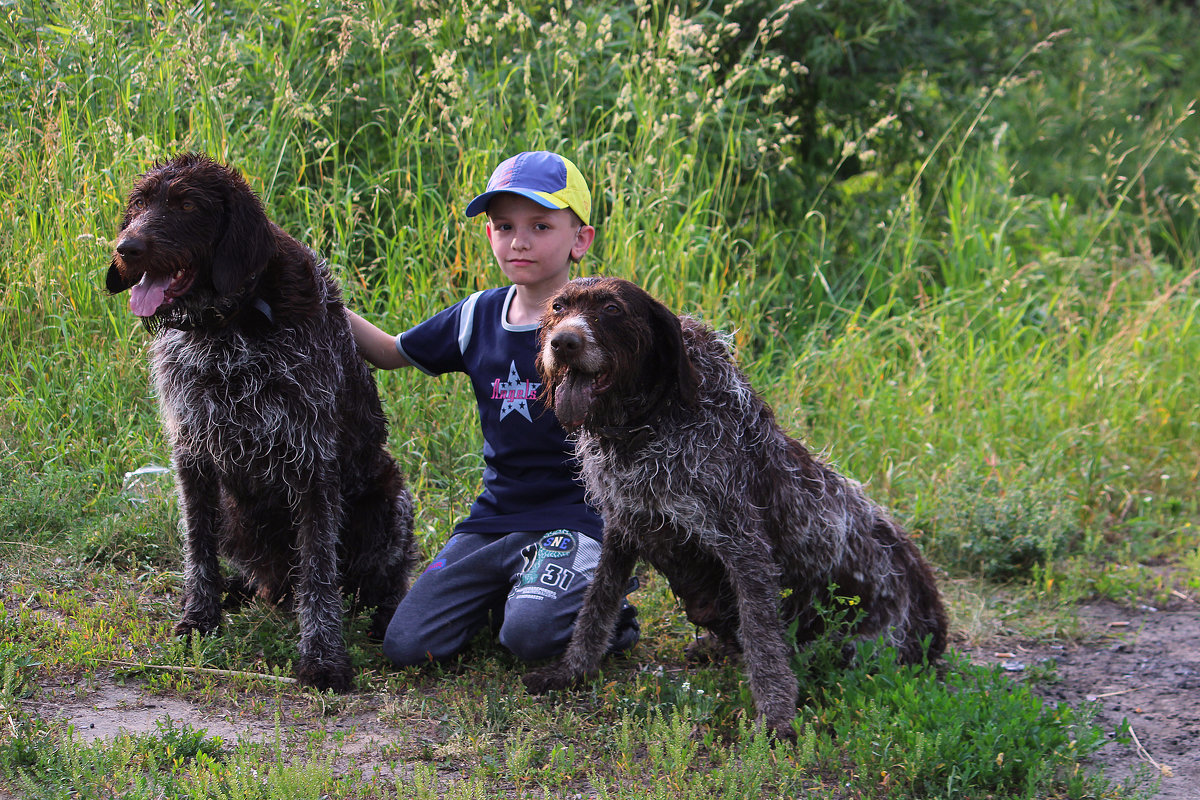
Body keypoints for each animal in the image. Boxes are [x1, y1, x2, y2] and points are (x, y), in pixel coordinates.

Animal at [108, 154, 417, 695]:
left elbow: (318, 568)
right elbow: (198, 546)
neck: (227, 325)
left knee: (386, 580)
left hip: (389, 500)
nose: (127, 248)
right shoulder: (192, 452)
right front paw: (199, 617)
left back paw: (385, 618)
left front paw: (323, 658)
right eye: (140, 204)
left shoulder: (311, 461)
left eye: (186, 205)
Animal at [525, 278, 945, 743]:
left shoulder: (745, 550)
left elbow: (763, 640)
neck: (650, 423)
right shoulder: (622, 529)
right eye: (559, 307)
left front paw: (775, 718)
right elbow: (595, 610)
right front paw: (572, 672)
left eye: (612, 309)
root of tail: (934, 616)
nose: (563, 342)